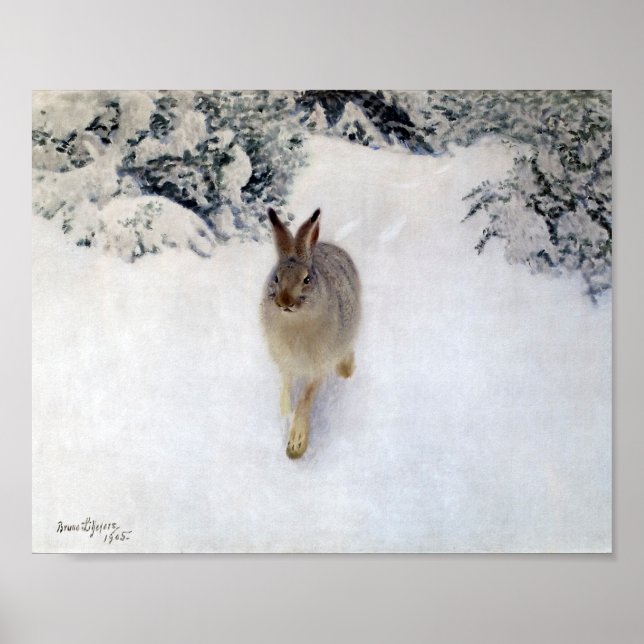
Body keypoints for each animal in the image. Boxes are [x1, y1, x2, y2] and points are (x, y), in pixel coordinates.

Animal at [260, 207, 361, 458]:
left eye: (306, 279)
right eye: (276, 278)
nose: (284, 302)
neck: (296, 323)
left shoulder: (319, 365)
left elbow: (306, 399)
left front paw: (296, 443)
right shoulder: (286, 362)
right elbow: (286, 386)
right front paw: (284, 413)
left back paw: (346, 371)